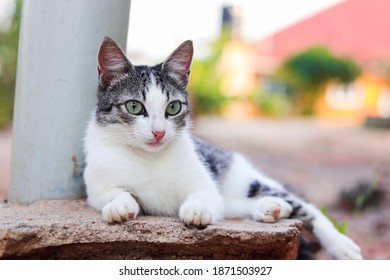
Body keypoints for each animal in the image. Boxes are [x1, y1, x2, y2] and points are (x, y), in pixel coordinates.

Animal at [84, 37, 364, 260]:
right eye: (134, 106)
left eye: (173, 107)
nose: (159, 132)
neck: (149, 158)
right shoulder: (96, 187)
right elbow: (112, 193)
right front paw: (120, 205)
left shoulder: (206, 185)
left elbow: (206, 197)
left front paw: (196, 209)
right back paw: (270, 208)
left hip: (244, 177)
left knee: (304, 206)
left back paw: (340, 243)